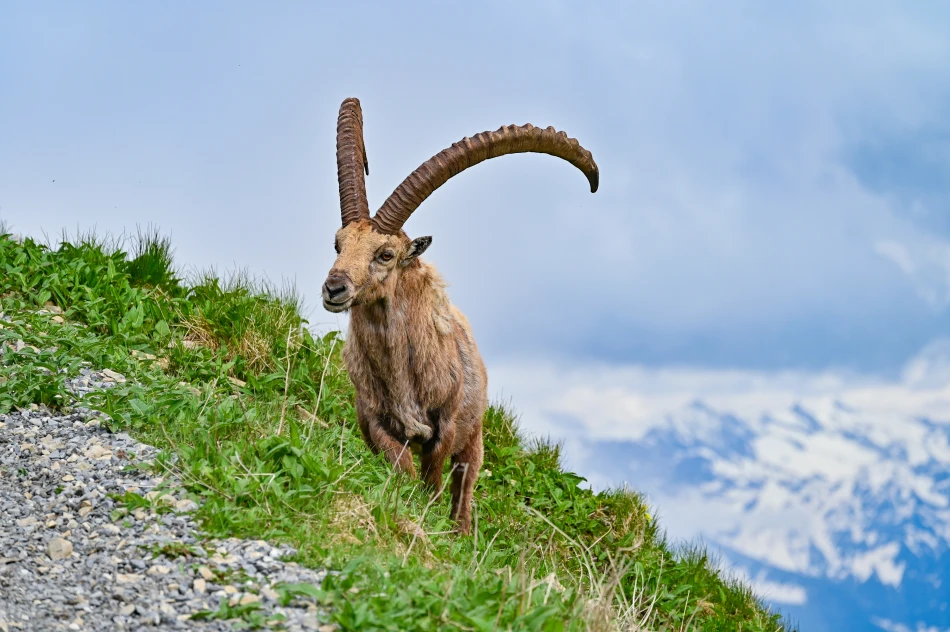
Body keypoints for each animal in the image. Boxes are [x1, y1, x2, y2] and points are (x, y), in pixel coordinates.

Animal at [321, 98, 598, 533]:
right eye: (338, 243)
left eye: (386, 254)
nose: (334, 288)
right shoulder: (376, 424)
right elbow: (401, 470)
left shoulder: (445, 428)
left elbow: (433, 482)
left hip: (475, 437)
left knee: (464, 488)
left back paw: (462, 532)